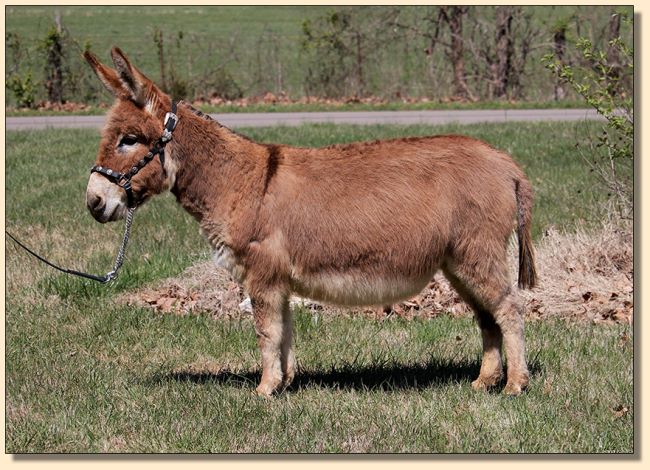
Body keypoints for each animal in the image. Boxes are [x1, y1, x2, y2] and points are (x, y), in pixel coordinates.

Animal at [84, 47, 537, 396]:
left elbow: (266, 332)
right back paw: (484, 382)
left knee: (509, 309)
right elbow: (284, 331)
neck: (240, 180)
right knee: (487, 316)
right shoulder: (277, 279)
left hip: (475, 254)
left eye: (129, 140)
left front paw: (264, 391)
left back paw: (515, 385)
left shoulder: (262, 274)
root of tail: (506, 163)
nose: (93, 202)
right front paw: (285, 383)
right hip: (458, 262)